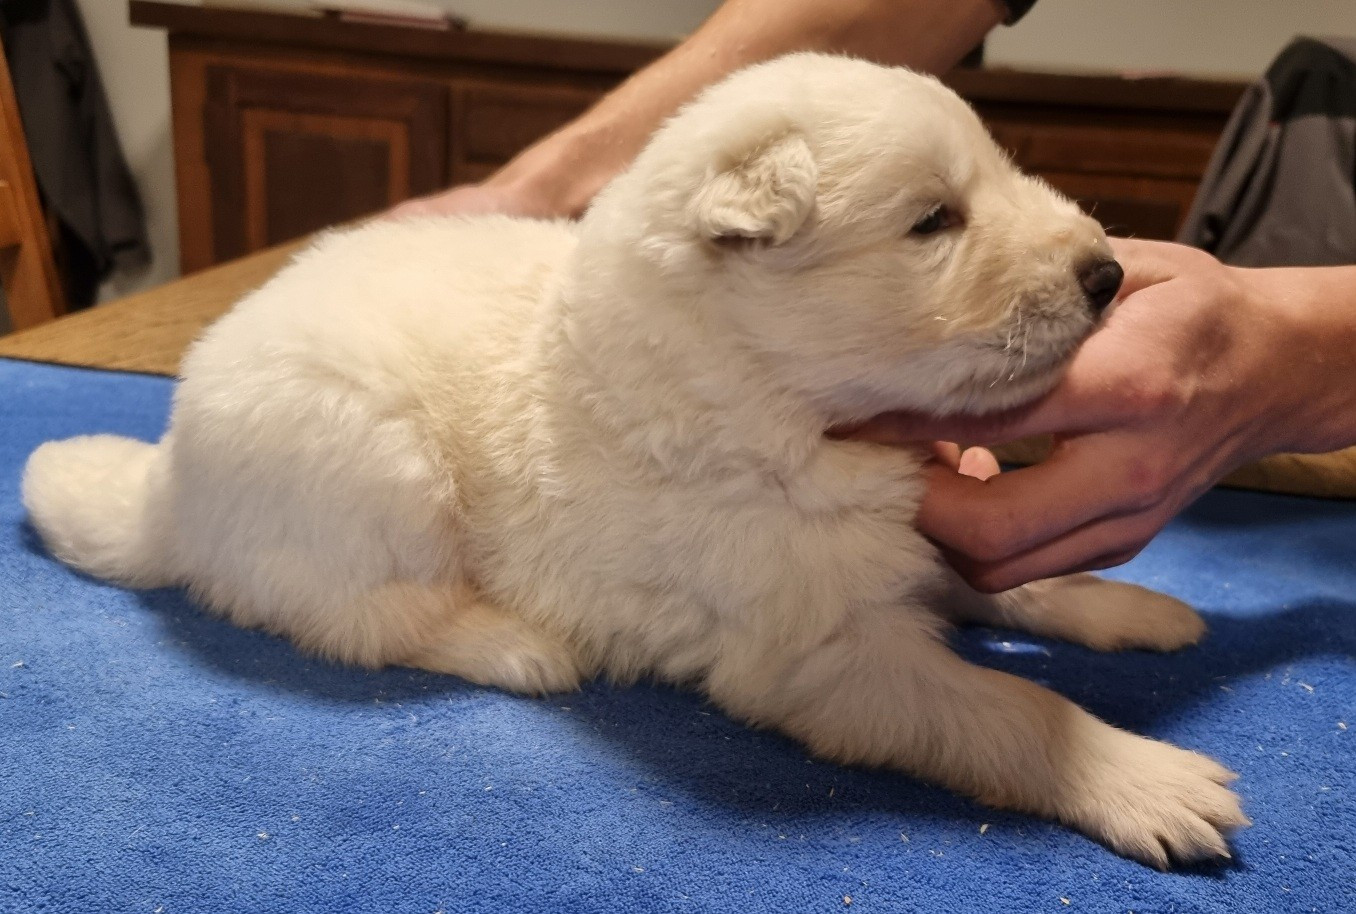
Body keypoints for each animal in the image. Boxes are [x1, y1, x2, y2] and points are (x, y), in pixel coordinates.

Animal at [23, 53, 1246, 867]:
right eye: (933, 220)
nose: (1106, 274)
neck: (772, 406)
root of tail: (169, 478)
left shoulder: (900, 529)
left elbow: (1014, 575)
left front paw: (1132, 607)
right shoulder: (822, 651)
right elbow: (1005, 706)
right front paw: (1146, 779)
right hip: (375, 472)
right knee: (358, 617)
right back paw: (517, 644)